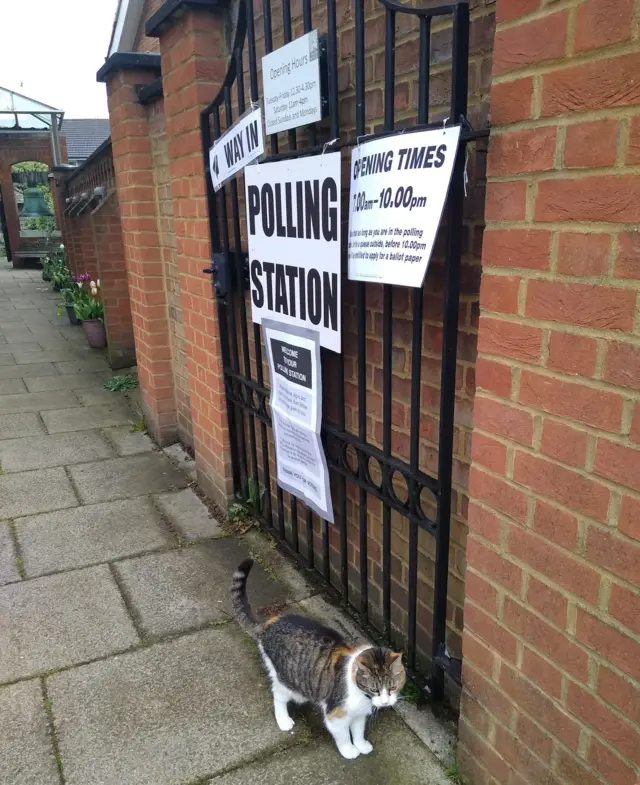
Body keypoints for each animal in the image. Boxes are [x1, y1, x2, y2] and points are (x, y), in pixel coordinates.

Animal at [232, 556, 408, 756]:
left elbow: (358, 730)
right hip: (291, 684)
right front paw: (349, 751)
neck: (362, 696)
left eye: (393, 687)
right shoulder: (335, 716)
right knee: (278, 694)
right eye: (375, 689)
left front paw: (361, 744)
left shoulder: (359, 715)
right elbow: (343, 736)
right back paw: (283, 720)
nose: (386, 702)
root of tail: (268, 624)